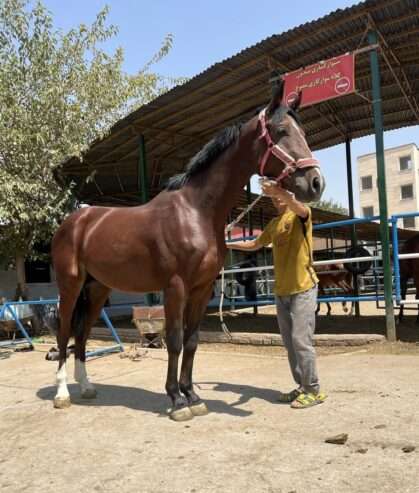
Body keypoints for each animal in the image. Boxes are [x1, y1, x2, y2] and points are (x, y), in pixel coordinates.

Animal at [50, 82, 324, 420]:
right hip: (70, 286)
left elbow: (192, 341)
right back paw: (62, 393)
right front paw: (177, 400)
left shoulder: (202, 289)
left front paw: (192, 395)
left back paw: (87, 387)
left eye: (303, 131)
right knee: (64, 331)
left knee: (82, 333)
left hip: (98, 289)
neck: (195, 211)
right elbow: (175, 340)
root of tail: (73, 221)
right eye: (282, 130)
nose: (316, 183)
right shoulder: (175, 287)